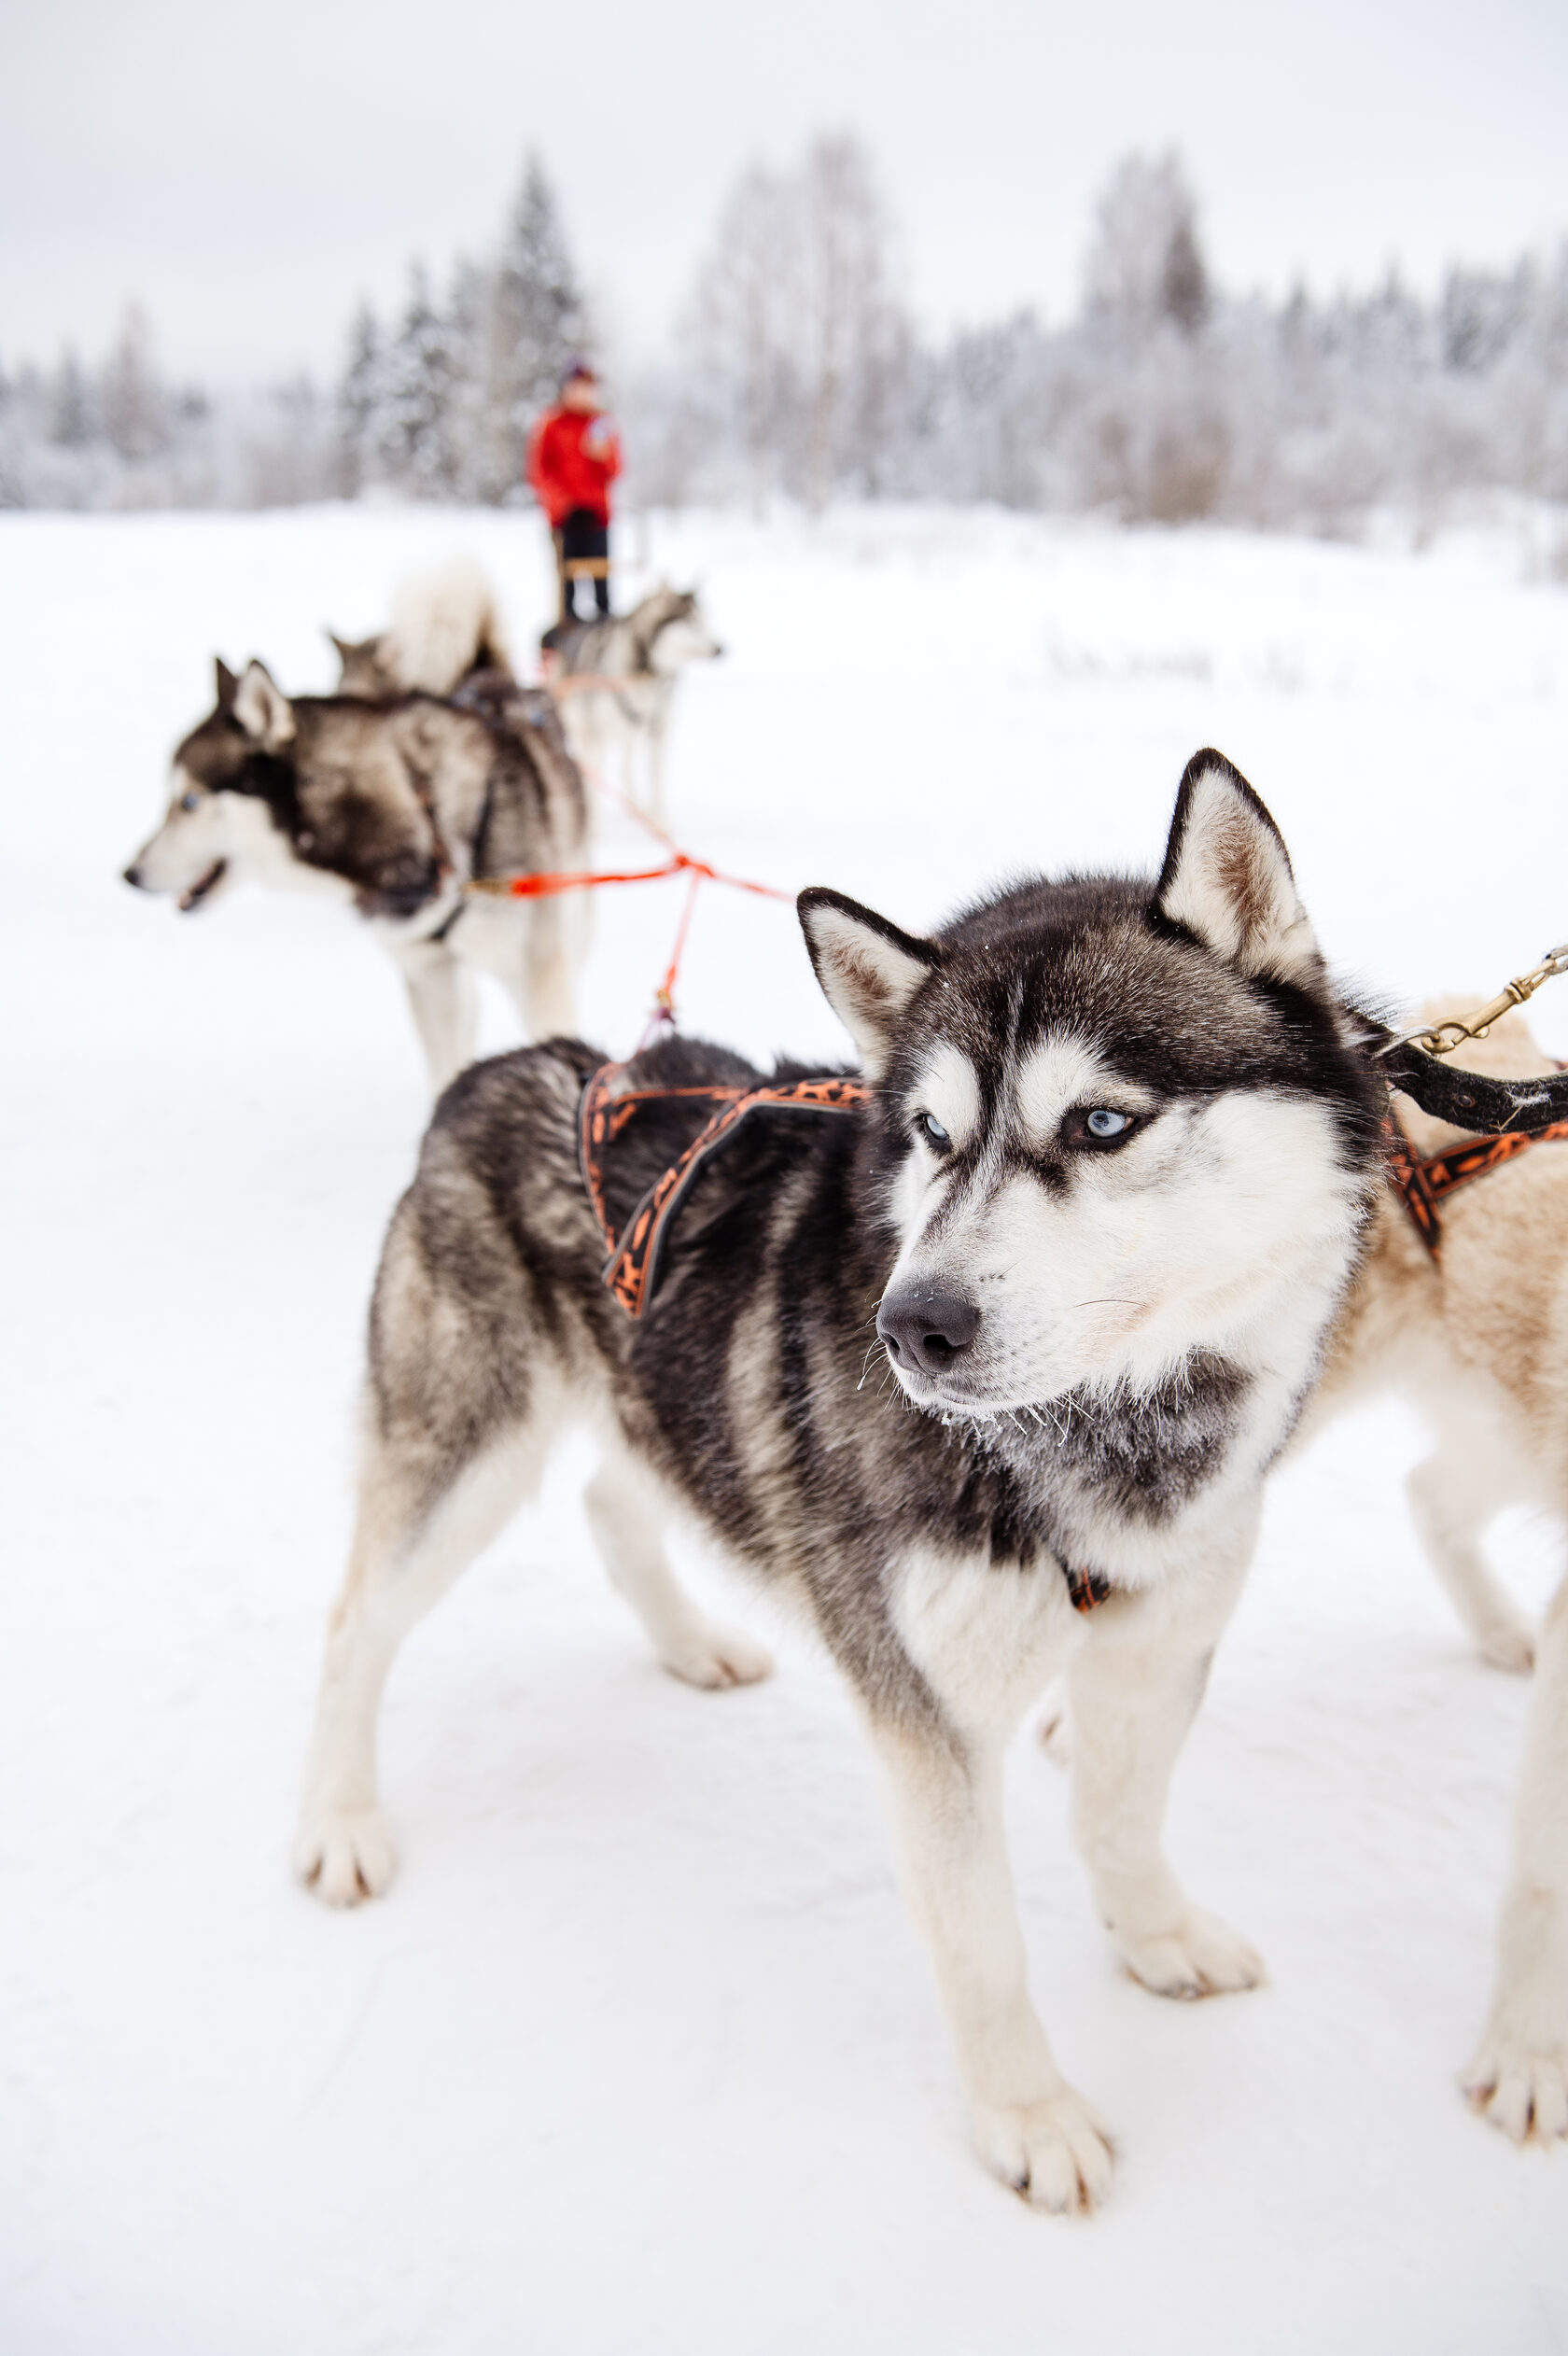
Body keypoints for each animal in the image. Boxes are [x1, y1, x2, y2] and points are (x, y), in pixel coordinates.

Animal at [296, 753, 1393, 2205]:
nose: (914, 1326)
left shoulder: (1160, 1645)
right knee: (356, 1622)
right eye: (931, 1133)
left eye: (1102, 1122)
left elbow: (1122, 1818)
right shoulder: (930, 1718)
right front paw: (1029, 2116)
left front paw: (1156, 1938)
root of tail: (510, 1066)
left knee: (611, 1496)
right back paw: (337, 1819)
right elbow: (984, 1944)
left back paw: (692, 1643)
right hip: (461, 1456)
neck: (1096, 1434)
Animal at [543, 583, 720, 824]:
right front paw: (595, 826)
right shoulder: (597, 736)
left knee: (625, 768)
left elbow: (655, 781)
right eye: (692, 623)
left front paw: (660, 820)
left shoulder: (658, 733)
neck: (644, 672)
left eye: (705, 622)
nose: (721, 648)